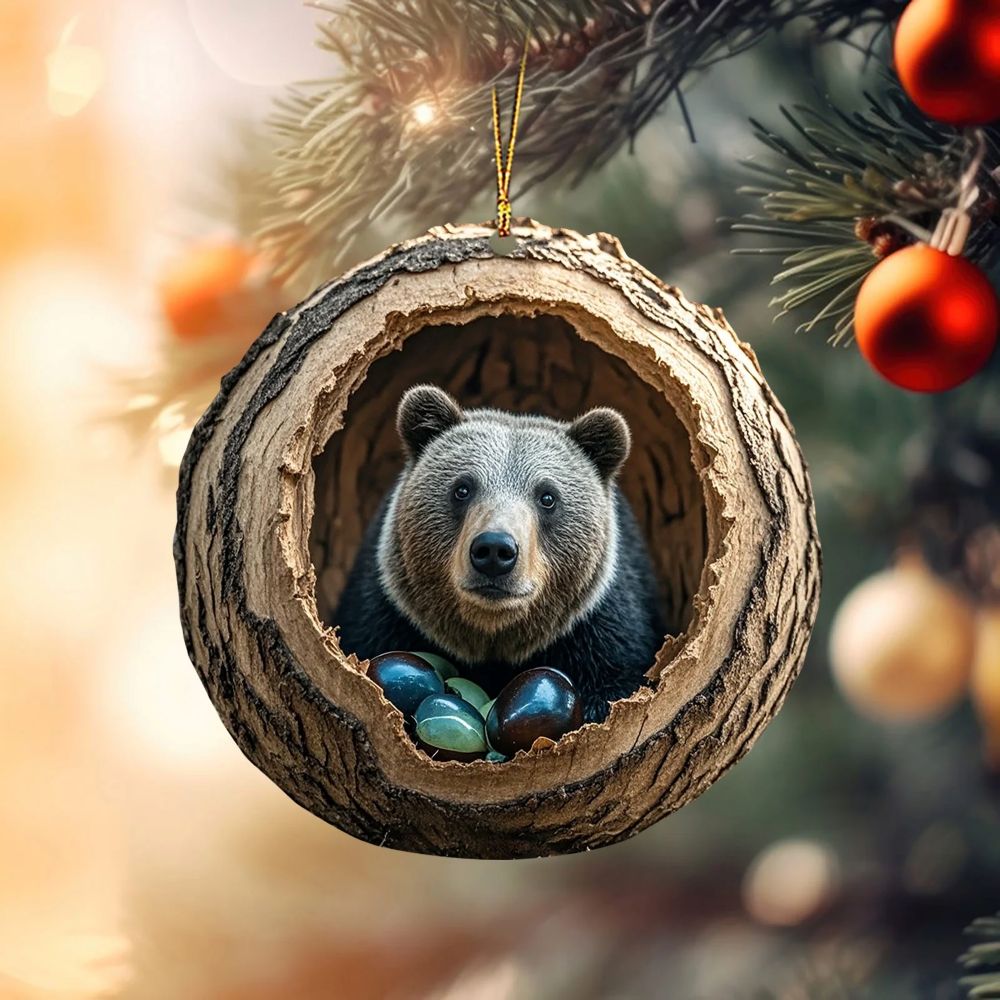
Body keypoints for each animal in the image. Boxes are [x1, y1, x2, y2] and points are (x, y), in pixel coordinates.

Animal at [333, 384, 665, 723]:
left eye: (547, 497)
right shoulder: (383, 613)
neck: (493, 633)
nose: (494, 550)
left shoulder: (601, 629)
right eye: (462, 489)